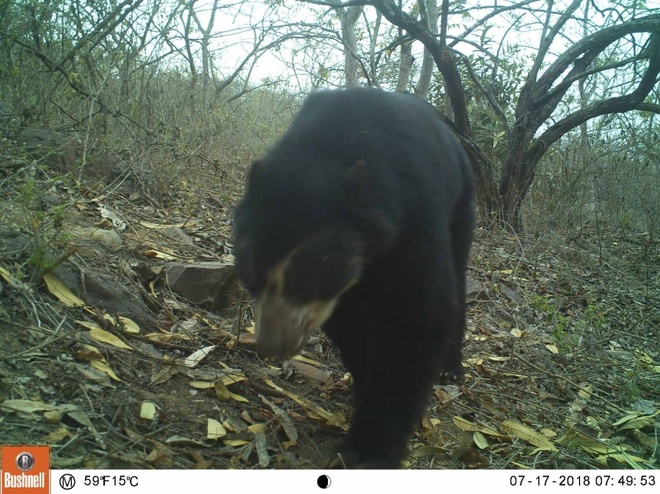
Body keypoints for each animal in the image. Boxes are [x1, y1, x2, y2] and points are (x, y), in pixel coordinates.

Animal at [232, 87, 475, 468]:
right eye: (250, 277)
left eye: (302, 282)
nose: (271, 346)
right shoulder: (338, 297)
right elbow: (353, 329)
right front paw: (362, 389)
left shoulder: (415, 213)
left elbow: (419, 317)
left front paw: (368, 450)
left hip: (462, 206)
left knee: (459, 279)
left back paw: (451, 369)